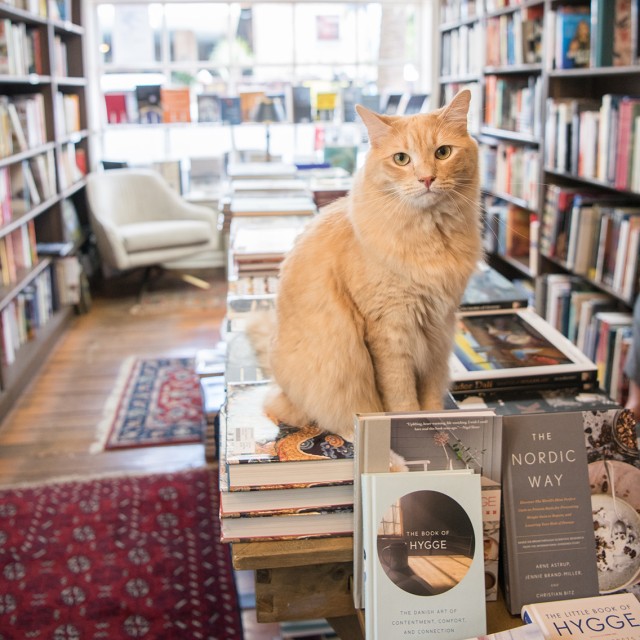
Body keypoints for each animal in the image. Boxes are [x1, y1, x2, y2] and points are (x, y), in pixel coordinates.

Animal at [252, 89, 482, 440]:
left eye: (443, 152)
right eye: (401, 159)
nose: (427, 178)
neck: (430, 237)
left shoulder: (438, 328)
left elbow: (430, 393)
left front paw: (437, 428)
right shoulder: (390, 330)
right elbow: (401, 396)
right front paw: (411, 430)